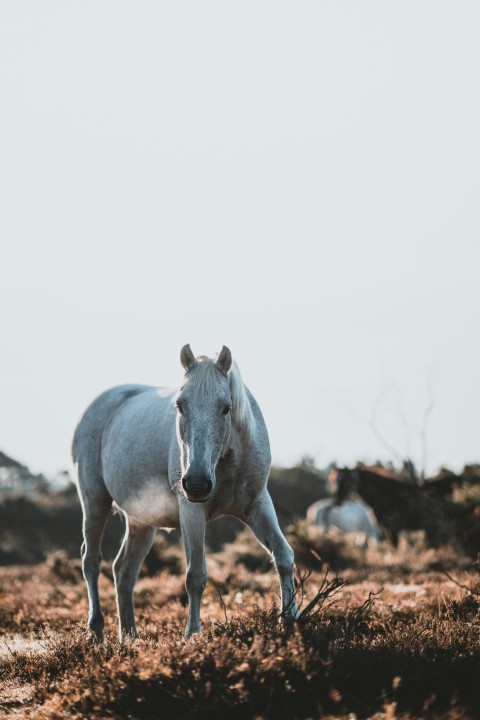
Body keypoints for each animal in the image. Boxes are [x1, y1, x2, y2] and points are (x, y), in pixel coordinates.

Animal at [72, 344, 298, 640]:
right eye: (180, 406)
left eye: (226, 408)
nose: (197, 484)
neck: (226, 461)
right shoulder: (191, 510)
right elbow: (195, 576)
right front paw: (192, 635)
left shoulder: (257, 505)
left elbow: (284, 556)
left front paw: (290, 622)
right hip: (95, 502)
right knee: (91, 560)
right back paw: (96, 630)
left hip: (142, 521)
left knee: (123, 570)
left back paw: (130, 636)